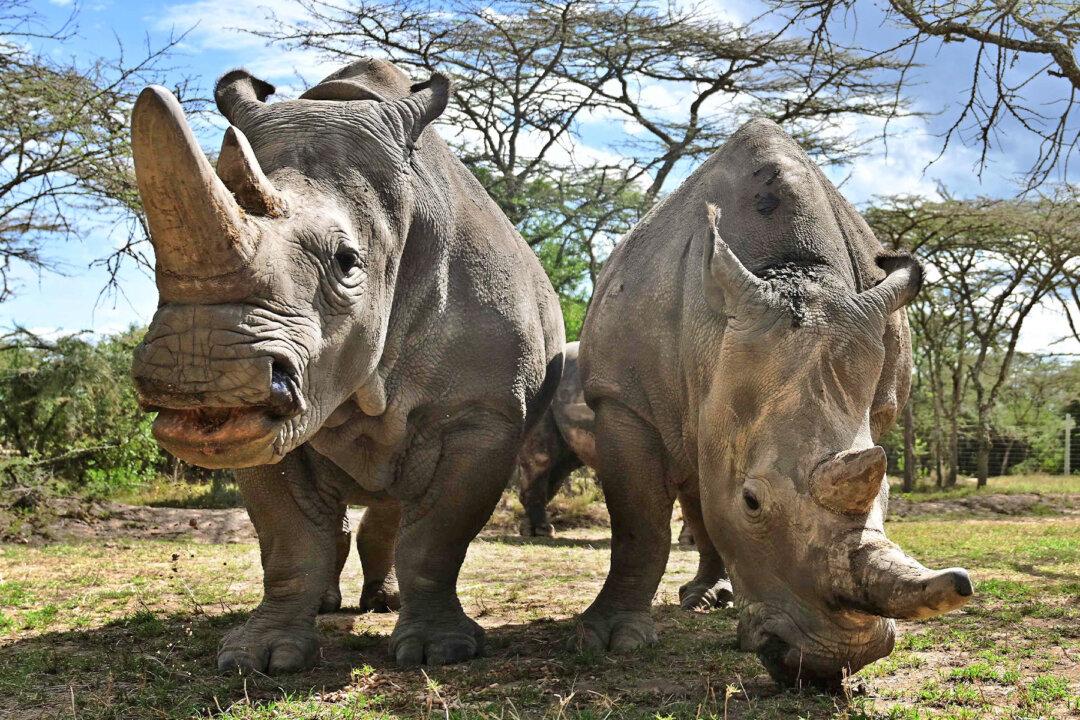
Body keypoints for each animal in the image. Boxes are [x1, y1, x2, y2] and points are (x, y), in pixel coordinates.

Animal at [129, 58, 564, 672]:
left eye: (347, 262)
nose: (200, 373)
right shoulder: (257, 426)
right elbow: (289, 537)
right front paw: (260, 658)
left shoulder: (483, 413)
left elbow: (437, 535)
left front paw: (439, 652)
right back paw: (330, 604)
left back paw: (386, 604)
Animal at [575, 119, 972, 686]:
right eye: (752, 502)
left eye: (890, 496)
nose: (835, 663)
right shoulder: (621, 397)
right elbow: (639, 522)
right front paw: (610, 640)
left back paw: (711, 601)